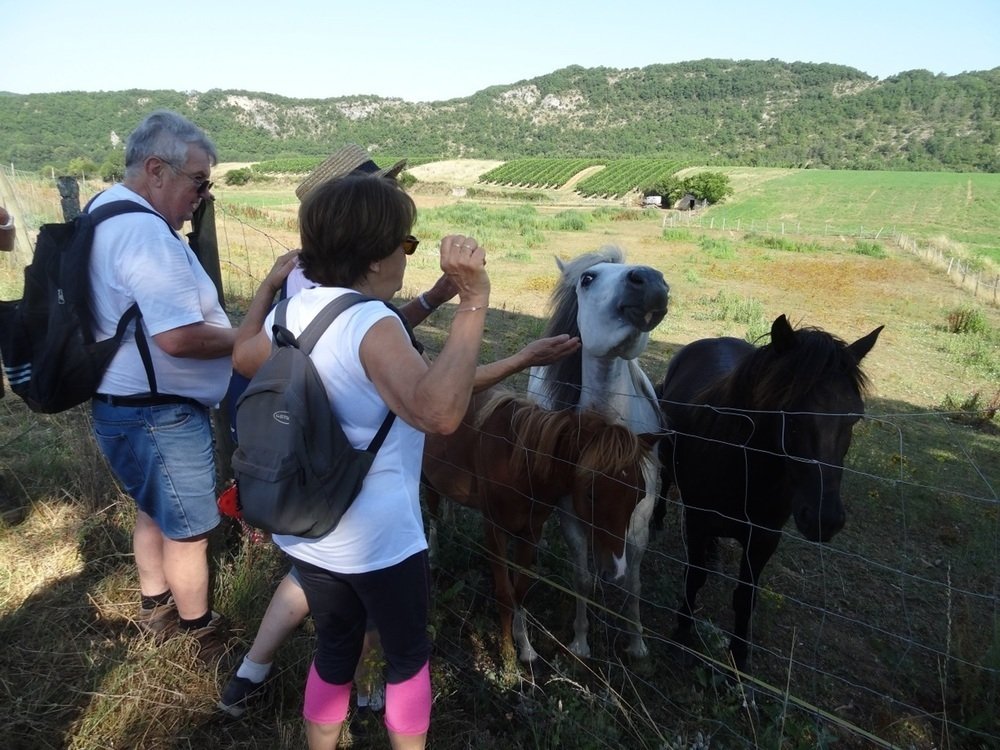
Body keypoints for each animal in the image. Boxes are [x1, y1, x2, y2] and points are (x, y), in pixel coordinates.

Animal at [422, 388, 657, 663]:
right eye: (590, 494)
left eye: (640, 495)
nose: (617, 572)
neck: (517, 462)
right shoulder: (494, 531)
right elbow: (505, 593)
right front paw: (508, 655)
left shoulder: (531, 532)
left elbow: (521, 590)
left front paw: (525, 647)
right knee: (431, 512)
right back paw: (433, 555)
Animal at [527, 246, 669, 659]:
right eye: (588, 279)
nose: (651, 281)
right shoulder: (571, 517)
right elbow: (582, 578)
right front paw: (580, 641)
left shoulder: (640, 520)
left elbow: (633, 583)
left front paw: (637, 643)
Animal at [655, 313, 883, 672]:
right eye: (790, 414)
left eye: (855, 417)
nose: (825, 519)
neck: (745, 468)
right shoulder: (697, 520)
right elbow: (694, 578)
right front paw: (680, 633)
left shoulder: (764, 538)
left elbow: (745, 596)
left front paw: (738, 657)